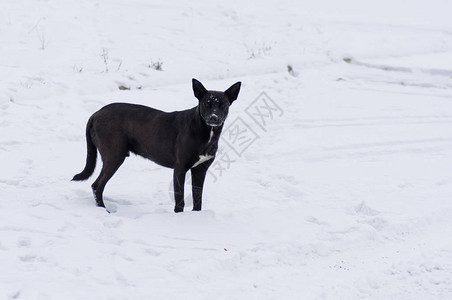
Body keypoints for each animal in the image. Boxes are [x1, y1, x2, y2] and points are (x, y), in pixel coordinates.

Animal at [71, 78, 240, 212]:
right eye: (207, 103)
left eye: (223, 105)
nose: (214, 117)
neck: (205, 131)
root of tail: (96, 114)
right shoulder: (180, 169)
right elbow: (180, 200)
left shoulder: (200, 170)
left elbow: (197, 199)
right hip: (114, 156)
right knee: (96, 185)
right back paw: (103, 211)